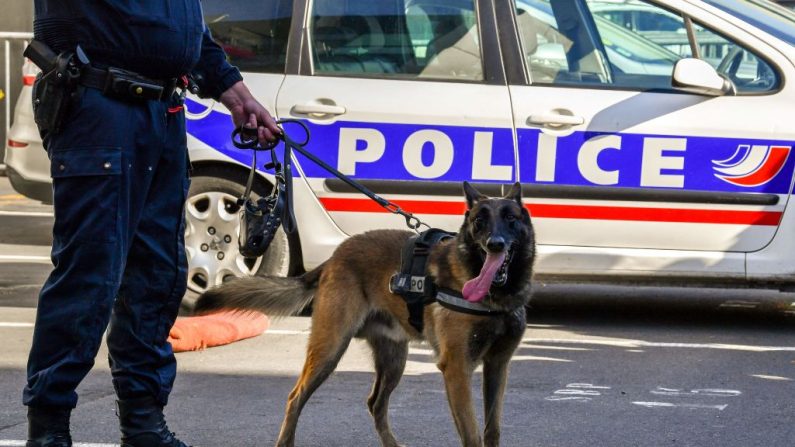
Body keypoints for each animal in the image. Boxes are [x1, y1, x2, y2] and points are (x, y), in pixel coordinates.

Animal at [196, 183, 536, 447]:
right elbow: (472, 434)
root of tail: (334, 256)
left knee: (376, 403)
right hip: (330, 349)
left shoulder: (497, 366)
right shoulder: (457, 369)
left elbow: (492, 430)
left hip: (394, 360)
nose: (495, 244)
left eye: (510, 219)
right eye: (479, 221)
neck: (495, 296)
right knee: (296, 397)